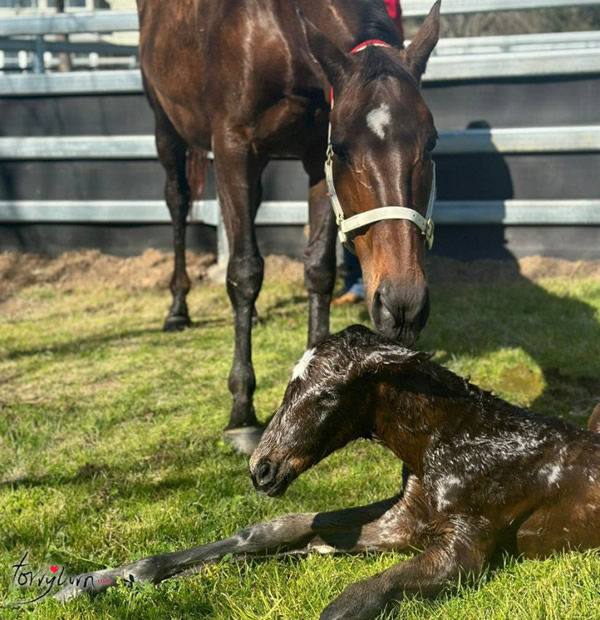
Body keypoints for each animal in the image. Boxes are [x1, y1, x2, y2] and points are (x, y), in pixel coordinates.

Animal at [55, 326, 600, 616]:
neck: (454, 441)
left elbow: (347, 601)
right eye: (289, 386)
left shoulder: (467, 546)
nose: (262, 468)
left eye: (329, 395)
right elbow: (277, 529)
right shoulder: (405, 520)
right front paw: (92, 580)